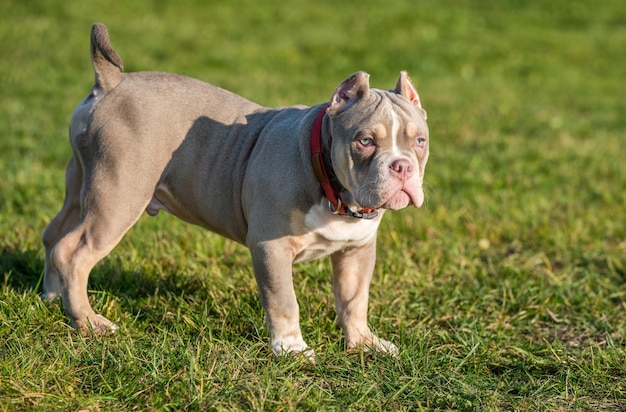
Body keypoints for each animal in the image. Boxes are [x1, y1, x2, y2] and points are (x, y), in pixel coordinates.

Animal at [41, 23, 426, 358]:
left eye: (420, 141)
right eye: (365, 141)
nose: (402, 166)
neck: (331, 182)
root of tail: (112, 82)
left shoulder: (357, 250)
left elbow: (354, 298)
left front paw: (363, 343)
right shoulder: (271, 248)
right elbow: (284, 301)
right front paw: (292, 349)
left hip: (82, 183)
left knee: (54, 233)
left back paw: (52, 297)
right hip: (118, 195)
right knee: (73, 253)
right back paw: (88, 322)